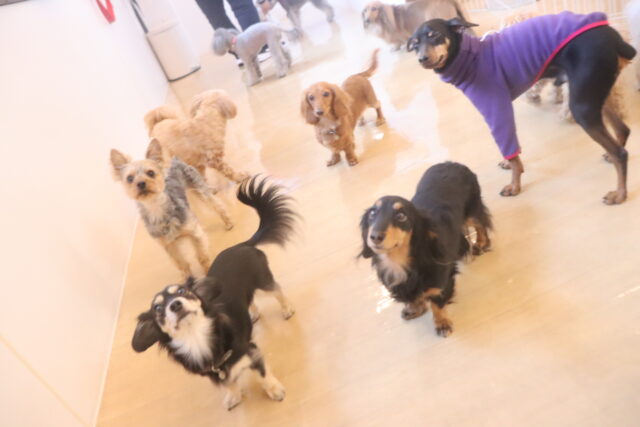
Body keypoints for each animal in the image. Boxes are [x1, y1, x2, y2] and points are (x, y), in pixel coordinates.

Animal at [110, 139, 233, 278]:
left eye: (151, 173)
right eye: (130, 178)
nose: (141, 183)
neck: (156, 207)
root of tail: (174, 159)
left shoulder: (194, 233)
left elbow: (202, 257)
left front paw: (207, 272)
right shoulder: (169, 245)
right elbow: (181, 264)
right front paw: (187, 278)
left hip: (199, 188)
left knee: (217, 205)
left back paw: (228, 222)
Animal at [131, 176, 297, 410]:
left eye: (182, 291)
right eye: (158, 309)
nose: (175, 305)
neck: (197, 339)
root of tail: (242, 244)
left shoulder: (251, 351)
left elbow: (263, 375)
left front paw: (274, 390)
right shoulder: (214, 373)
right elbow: (229, 383)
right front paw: (234, 396)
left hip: (264, 281)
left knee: (278, 290)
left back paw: (287, 309)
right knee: (250, 300)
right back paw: (253, 313)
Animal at [360, 162, 492, 337]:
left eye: (401, 216)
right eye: (372, 213)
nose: (375, 237)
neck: (398, 262)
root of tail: (452, 163)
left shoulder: (440, 282)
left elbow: (437, 304)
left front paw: (442, 323)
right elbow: (414, 298)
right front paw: (414, 308)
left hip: (471, 211)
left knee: (480, 223)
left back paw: (481, 243)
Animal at [408, 13, 636, 205]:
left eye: (435, 35)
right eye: (415, 44)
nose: (422, 59)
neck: (470, 58)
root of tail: (615, 37)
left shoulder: (497, 110)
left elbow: (511, 151)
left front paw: (514, 186)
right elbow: (510, 151)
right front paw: (508, 165)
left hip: (582, 105)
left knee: (621, 153)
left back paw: (619, 194)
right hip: (594, 95)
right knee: (623, 130)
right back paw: (611, 159)